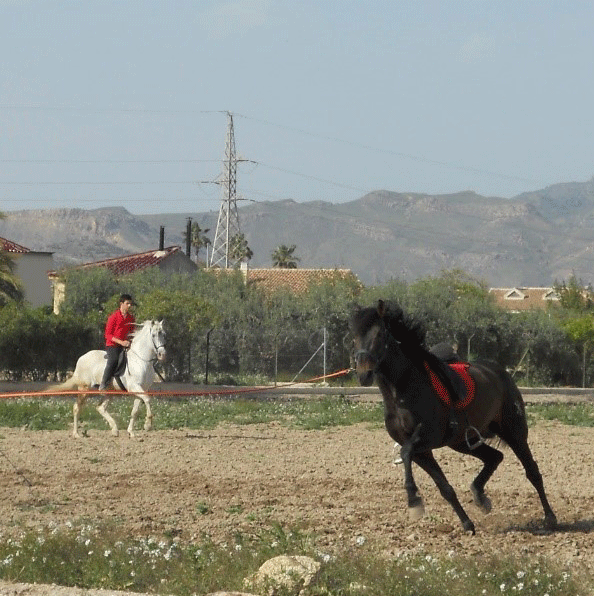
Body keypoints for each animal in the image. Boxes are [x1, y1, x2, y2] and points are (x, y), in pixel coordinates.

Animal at [350, 300, 552, 532]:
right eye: (354, 337)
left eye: (380, 334)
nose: (364, 374)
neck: (402, 390)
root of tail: (499, 372)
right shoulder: (423, 451)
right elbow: (443, 486)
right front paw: (467, 523)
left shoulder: (427, 438)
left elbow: (405, 452)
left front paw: (414, 501)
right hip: (462, 441)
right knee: (495, 457)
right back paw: (480, 496)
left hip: (514, 433)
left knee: (532, 472)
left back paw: (550, 518)